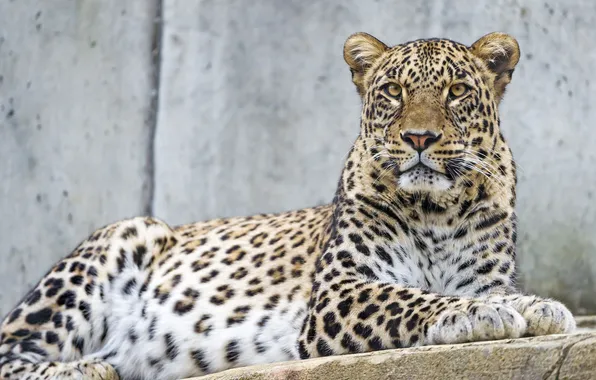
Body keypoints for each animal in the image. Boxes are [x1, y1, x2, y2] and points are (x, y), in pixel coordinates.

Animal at [0, 31, 576, 380]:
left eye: (456, 91)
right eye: (392, 90)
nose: (418, 138)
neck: (438, 208)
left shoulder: (483, 273)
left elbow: (497, 293)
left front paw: (539, 307)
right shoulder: (339, 291)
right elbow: (414, 298)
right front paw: (480, 313)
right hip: (123, 237)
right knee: (12, 353)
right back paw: (90, 367)